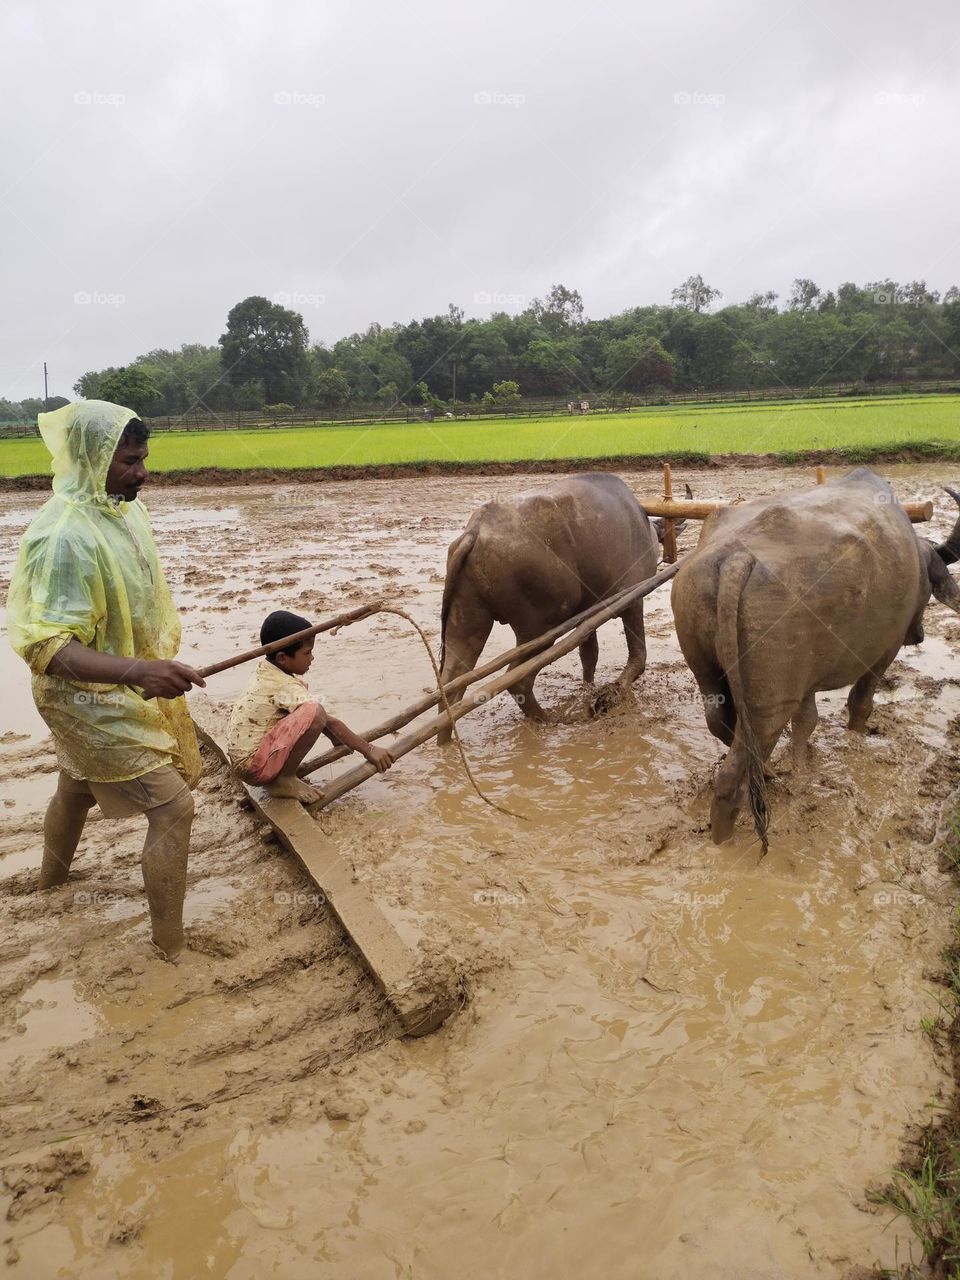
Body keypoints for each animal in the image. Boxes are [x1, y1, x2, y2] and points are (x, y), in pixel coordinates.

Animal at [440, 473, 665, 742]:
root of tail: (476, 530)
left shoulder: (587, 616)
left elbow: (589, 655)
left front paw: (587, 691)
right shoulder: (632, 600)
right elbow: (638, 658)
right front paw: (611, 695)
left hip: (468, 623)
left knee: (450, 686)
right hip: (537, 629)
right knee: (518, 681)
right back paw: (548, 720)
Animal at [670, 471, 960, 849]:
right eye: (927, 592)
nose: (920, 635)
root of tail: (735, 558)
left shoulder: (804, 679)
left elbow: (807, 722)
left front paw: (802, 766)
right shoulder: (884, 652)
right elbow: (860, 703)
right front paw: (856, 737)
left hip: (707, 670)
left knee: (721, 723)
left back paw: (767, 774)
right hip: (769, 703)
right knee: (734, 770)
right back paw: (725, 840)